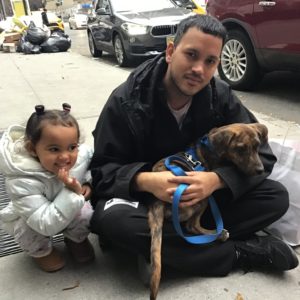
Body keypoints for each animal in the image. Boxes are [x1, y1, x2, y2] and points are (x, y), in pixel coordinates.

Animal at [149, 122, 268, 300]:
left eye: (257, 146)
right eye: (241, 149)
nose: (260, 170)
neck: (212, 147)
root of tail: (158, 200)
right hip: (203, 196)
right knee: (191, 226)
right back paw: (218, 234)